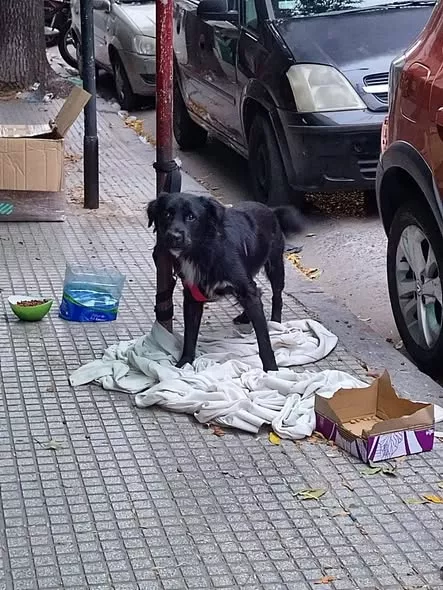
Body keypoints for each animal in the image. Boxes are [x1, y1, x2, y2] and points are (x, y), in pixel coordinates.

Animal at [147, 192, 302, 372]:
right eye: (167, 214)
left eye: (191, 217)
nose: (173, 236)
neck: (202, 252)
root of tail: (270, 209)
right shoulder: (192, 298)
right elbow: (190, 336)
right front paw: (184, 363)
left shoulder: (246, 290)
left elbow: (263, 339)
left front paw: (271, 369)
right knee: (259, 292)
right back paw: (245, 316)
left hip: (275, 267)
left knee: (276, 296)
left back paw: (275, 323)